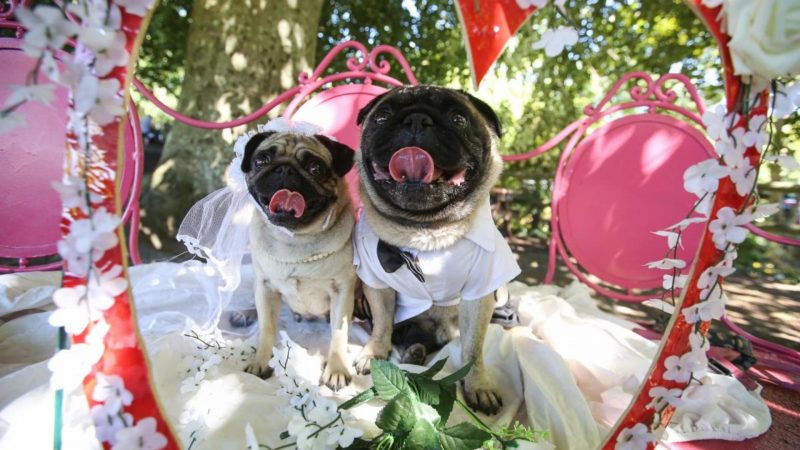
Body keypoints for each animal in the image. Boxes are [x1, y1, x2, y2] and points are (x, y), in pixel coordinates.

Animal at [242, 130, 358, 390]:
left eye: (315, 168)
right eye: (261, 160)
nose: (285, 169)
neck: (296, 242)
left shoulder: (343, 290)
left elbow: (338, 333)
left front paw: (336, 369)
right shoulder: (264, 288)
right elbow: (266, 328)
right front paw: (261, 361)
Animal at [354, 85, 520, 414]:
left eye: (459, 119)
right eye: (382, 117)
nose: (417, 120)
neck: (427, 230)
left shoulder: (480, 295)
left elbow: (473, 348)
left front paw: (478, 385)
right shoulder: (377, 286)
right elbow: (381, 323)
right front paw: (374, 352)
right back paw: (414, 353)